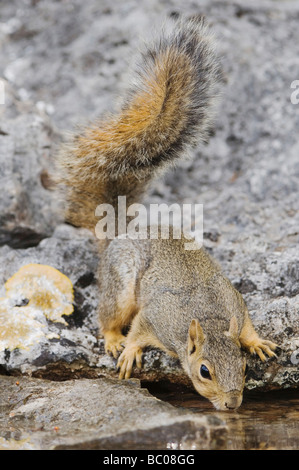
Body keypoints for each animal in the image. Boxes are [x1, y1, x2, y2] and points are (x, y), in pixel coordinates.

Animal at [55, 16, 278, 410]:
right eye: (204, 371)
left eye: (243, 366)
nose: (233, 405)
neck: (207, 316)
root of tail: (118, 231)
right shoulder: (156, 318)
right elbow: (138, 330)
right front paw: (129, 349)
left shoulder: (235, 304)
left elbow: (246, 323)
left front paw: (257, 342)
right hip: (121, 282)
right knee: (109, 314)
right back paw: (113, 338)